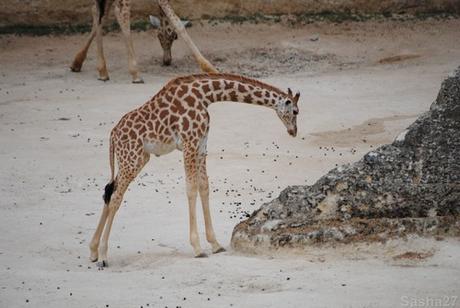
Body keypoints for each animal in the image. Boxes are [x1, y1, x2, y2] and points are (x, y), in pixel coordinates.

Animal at [92, 72, 302, 268]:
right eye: (295, 111)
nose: (293, 132)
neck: (206, 96)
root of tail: (113, 135)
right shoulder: (189, 143)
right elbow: (191, 189)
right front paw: (198, 248)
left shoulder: (201, 145)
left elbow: (204, 187)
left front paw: (215, 244)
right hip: (131, 158)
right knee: (116, 197)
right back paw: (103, 256)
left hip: (137, 158)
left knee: (108, 192)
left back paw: (93, 251)